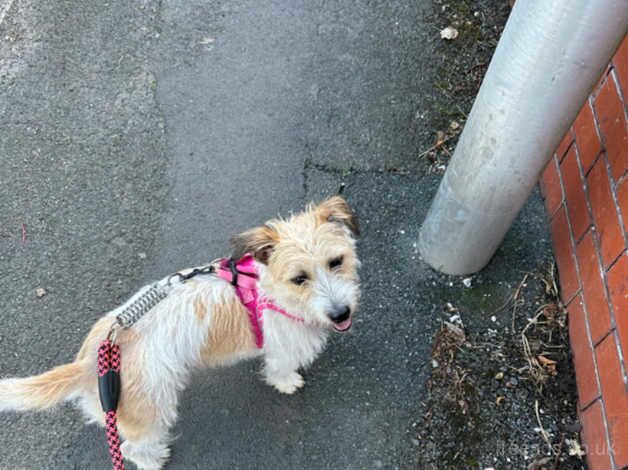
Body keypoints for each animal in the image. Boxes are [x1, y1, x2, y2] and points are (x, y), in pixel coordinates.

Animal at [0, 196, 358, 468]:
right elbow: (280, 370)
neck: (264, 288)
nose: (341, 313)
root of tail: (91, 362)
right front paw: (288, 383)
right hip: (150, 413)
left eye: (336, 261)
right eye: (299, 278)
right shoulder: (283, 349)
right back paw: (153, 460)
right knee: (131, 448)